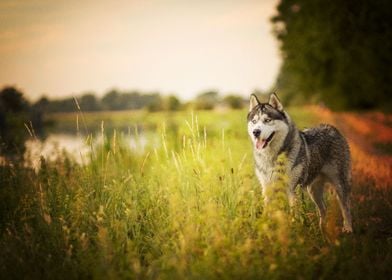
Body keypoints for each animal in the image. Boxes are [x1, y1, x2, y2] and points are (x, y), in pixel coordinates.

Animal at [250, 93, 354, 233]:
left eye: (267, 120)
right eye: (254, 121)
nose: (256, 132)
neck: (272, 157)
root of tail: (331, 127)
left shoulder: (292, 189)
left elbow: (295, 213)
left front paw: (295, 230)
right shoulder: (267, 189)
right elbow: (267, 211)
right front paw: (263, 229)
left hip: (339, 184)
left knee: (346, 208)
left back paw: (348, 228)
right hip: (313, 190)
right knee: (323, 209)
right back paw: (321, 230)